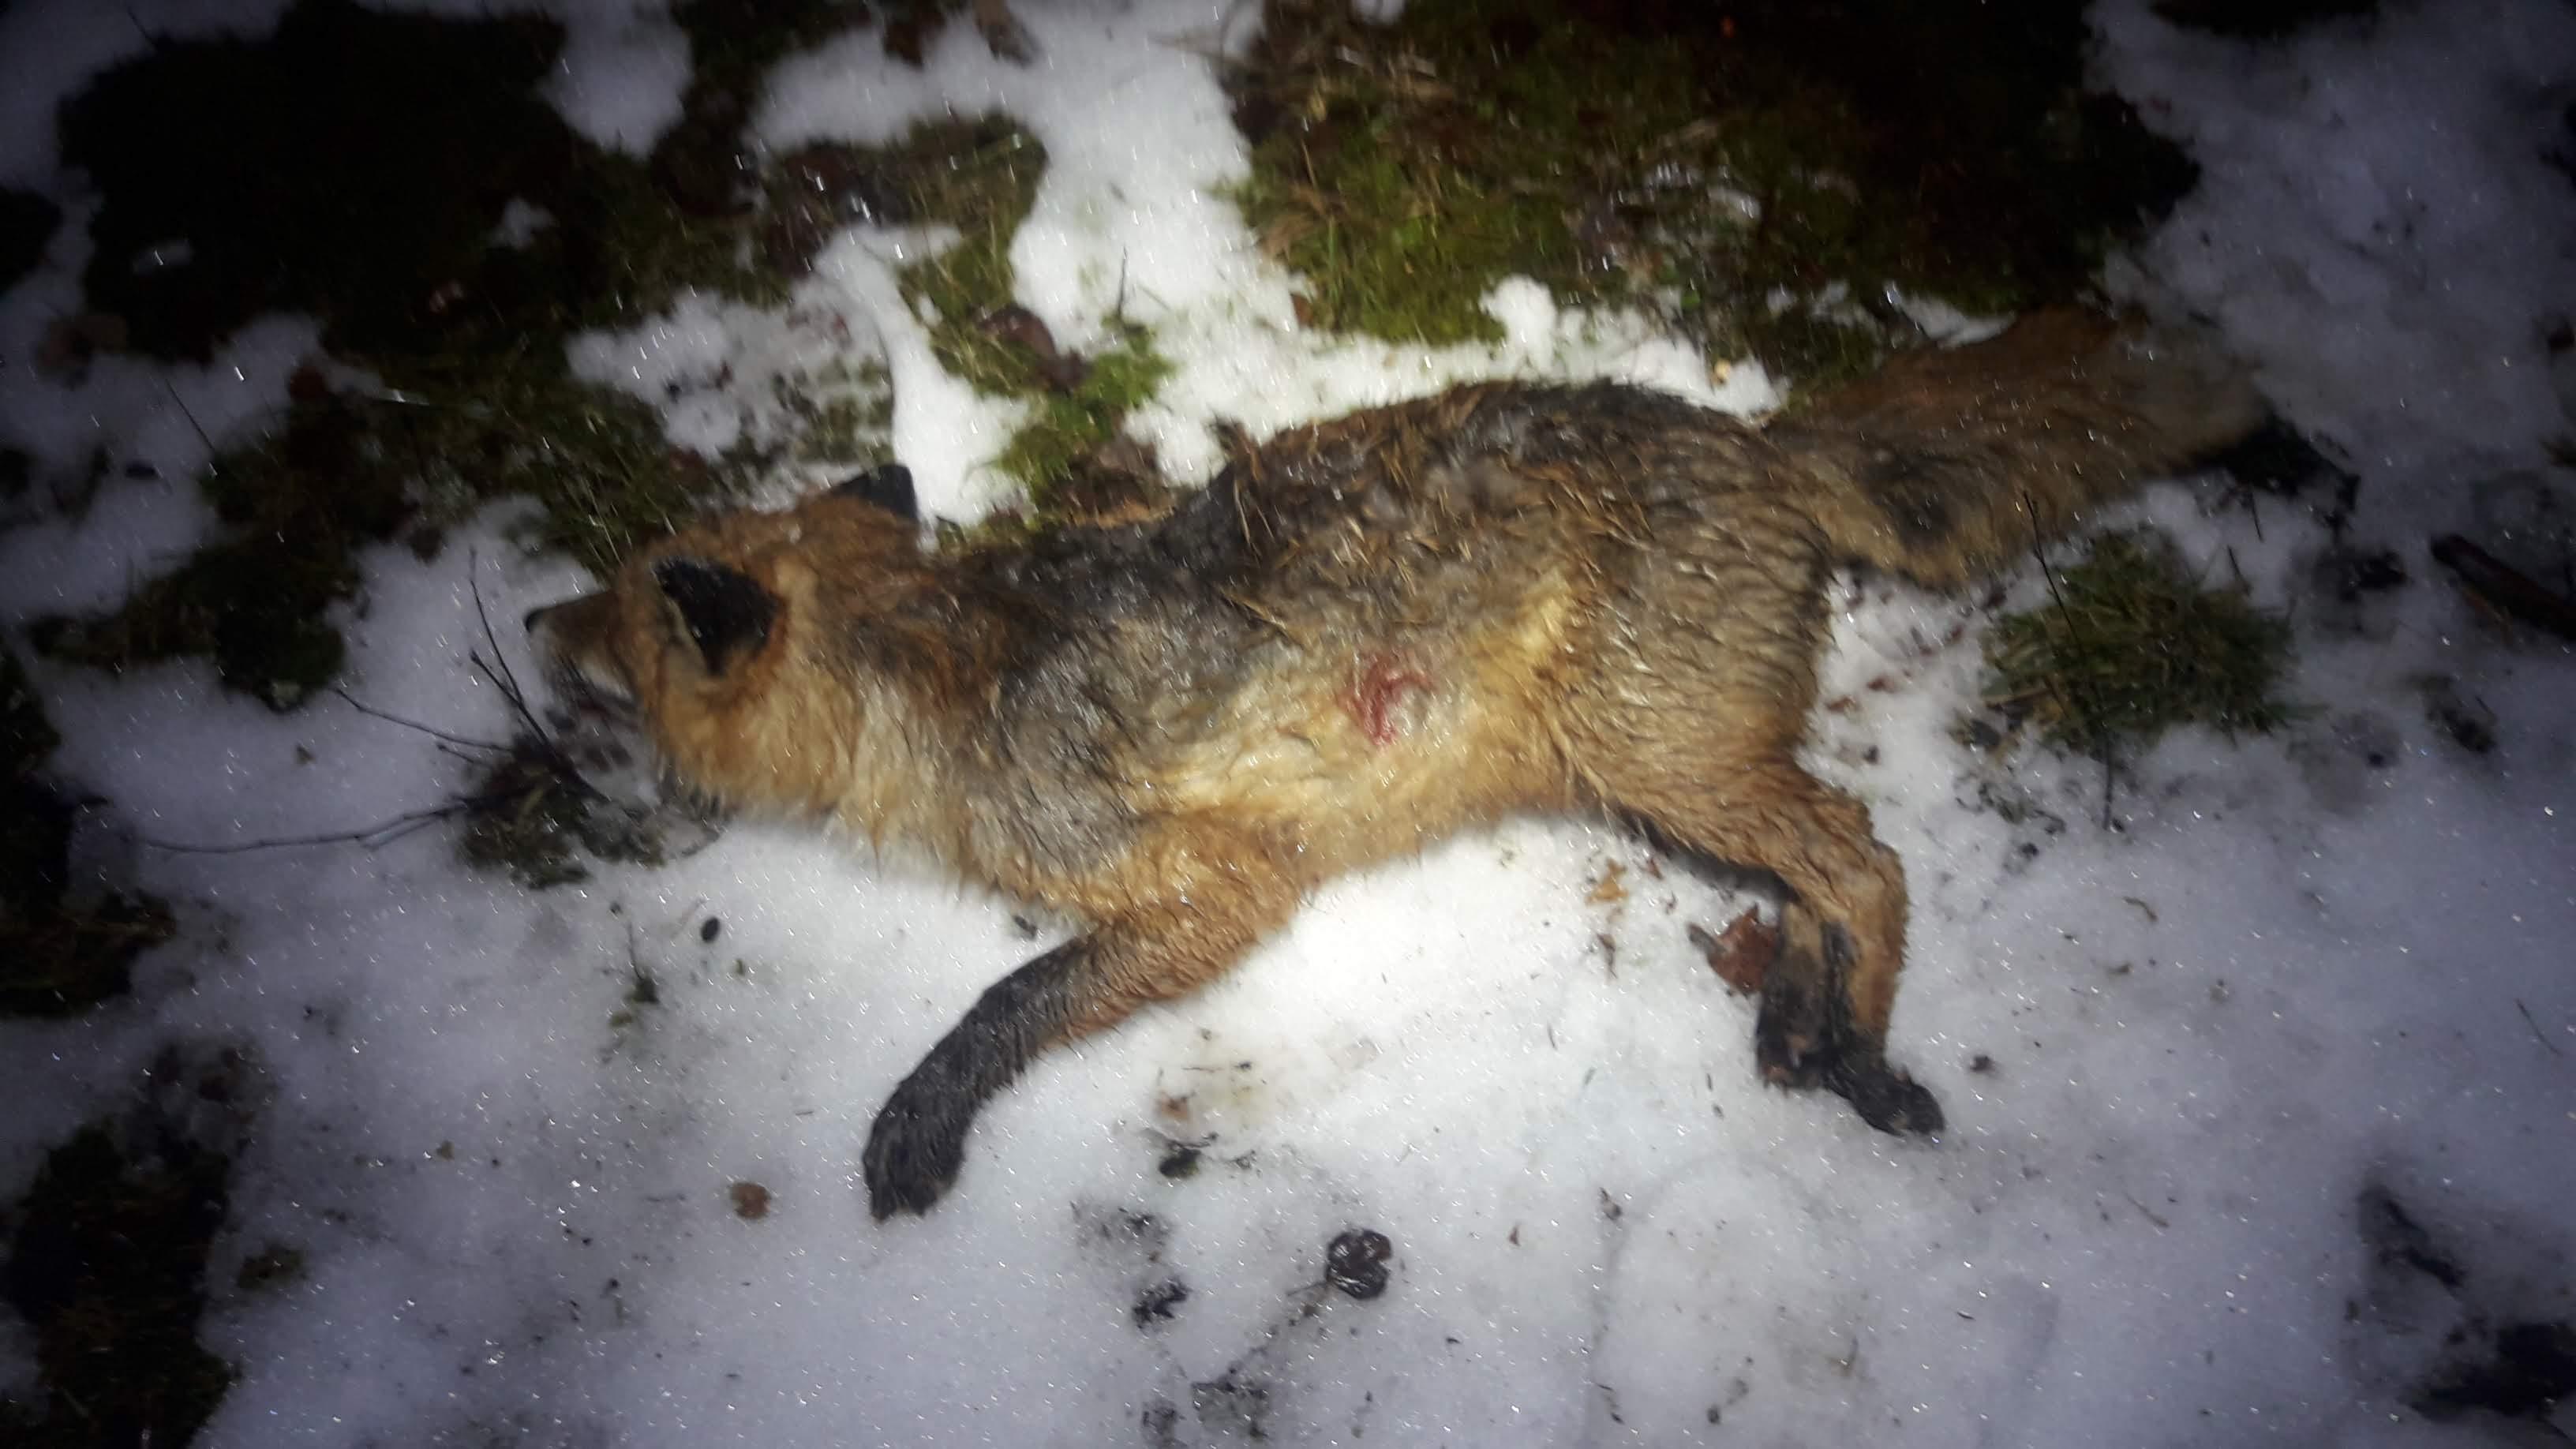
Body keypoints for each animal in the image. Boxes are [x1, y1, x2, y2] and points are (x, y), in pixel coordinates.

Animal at [525, 308, 2264, 1219]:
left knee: (1867, 856)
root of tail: (1753, 442)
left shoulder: (1213, 888)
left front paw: (921, 1120)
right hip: (1655, 778)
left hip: (1659, 757)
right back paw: (1795, 1019)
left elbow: (1008, 997)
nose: (532, 621)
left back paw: (1864, 1058)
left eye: (622, 609)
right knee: (1818, 870)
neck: (941, 677)